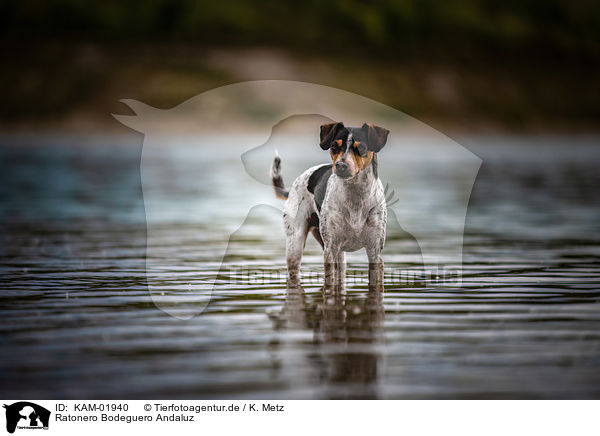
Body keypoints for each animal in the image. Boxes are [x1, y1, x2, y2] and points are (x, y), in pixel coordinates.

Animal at [268, 121, 390, 288]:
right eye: (334, 146)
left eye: (361, 148)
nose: (341, 165)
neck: (355, 197)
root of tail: (293, 186)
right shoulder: (330, 250)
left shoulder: (375, 252)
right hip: (296, 246)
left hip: (340, 255)